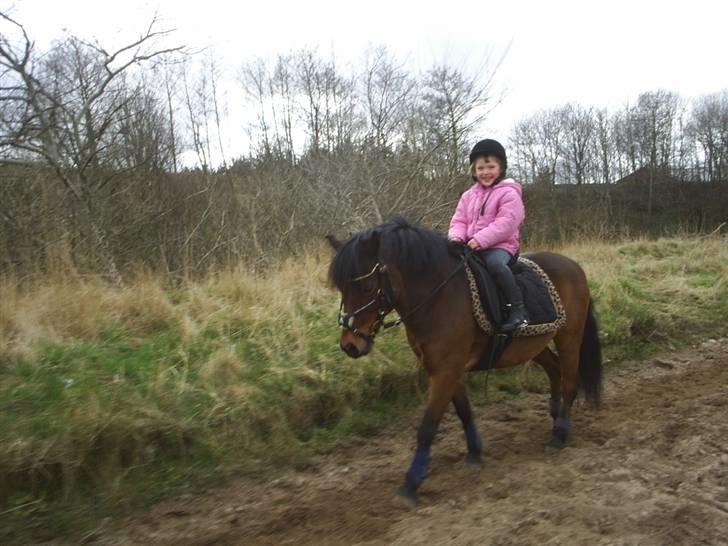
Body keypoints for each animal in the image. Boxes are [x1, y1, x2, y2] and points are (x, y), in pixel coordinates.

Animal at [330, 216, 604, 502]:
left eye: (367, 287)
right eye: (341, 288)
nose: (350, 345)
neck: (437, 298)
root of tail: (574, 266)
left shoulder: (447, 370)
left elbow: (428, 427)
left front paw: (411, 483)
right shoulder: (445, 369)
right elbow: (463, 411)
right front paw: (474, 453)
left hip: (569, 338)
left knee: (570, 382)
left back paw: (560, 433)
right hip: (533, 344)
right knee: (555, 369)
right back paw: (555, 414)